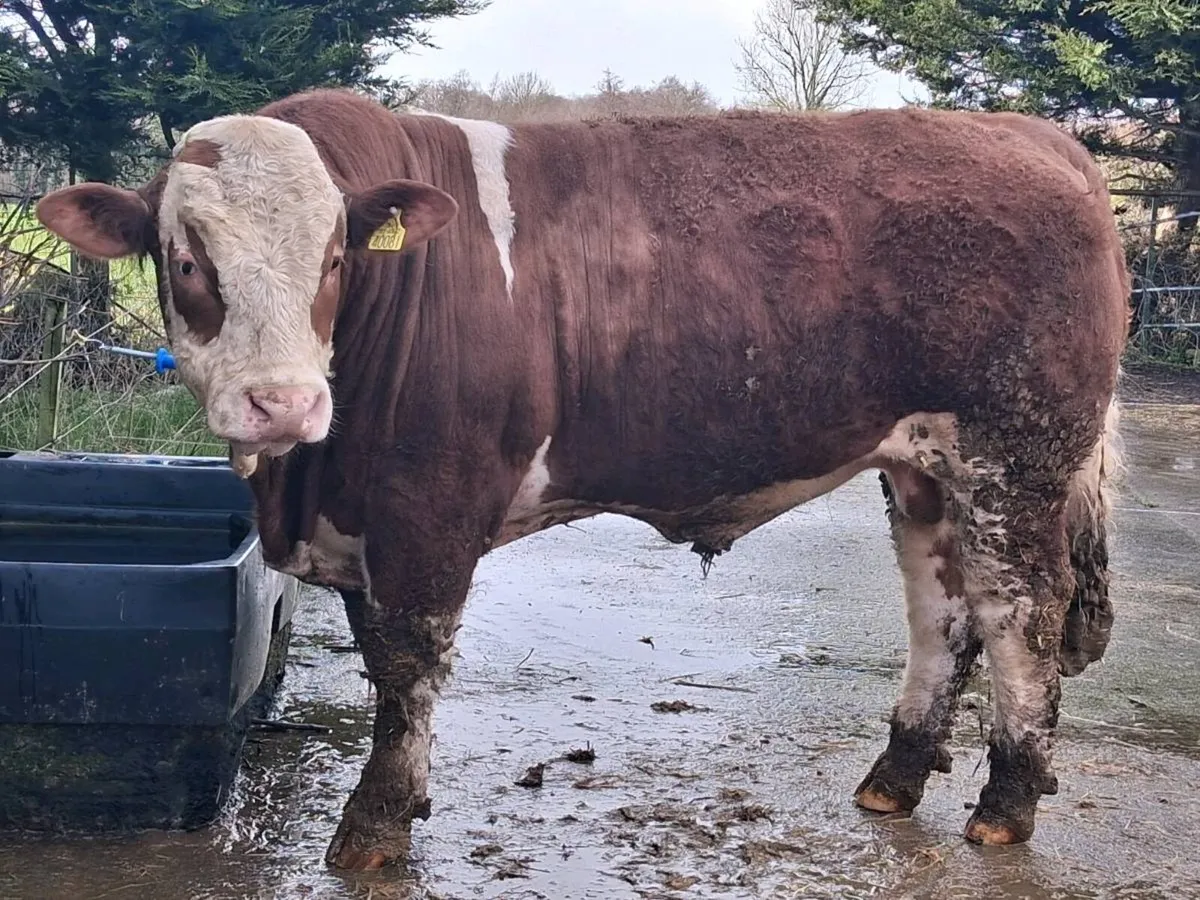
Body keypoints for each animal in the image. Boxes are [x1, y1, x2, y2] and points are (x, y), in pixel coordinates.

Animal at [36, 88, 1129, 870]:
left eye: (337, 256)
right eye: (185, 261)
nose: (282, 403)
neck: (309, 480)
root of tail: (1042, 139)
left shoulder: (429, 504)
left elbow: (406, 664)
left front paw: (375, 825)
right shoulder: (365, 520)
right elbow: (379, 656)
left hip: (1015, 455)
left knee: (1022, 615)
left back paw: (1004, 806)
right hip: (923, 470)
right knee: (941, 614)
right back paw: (892, 779)